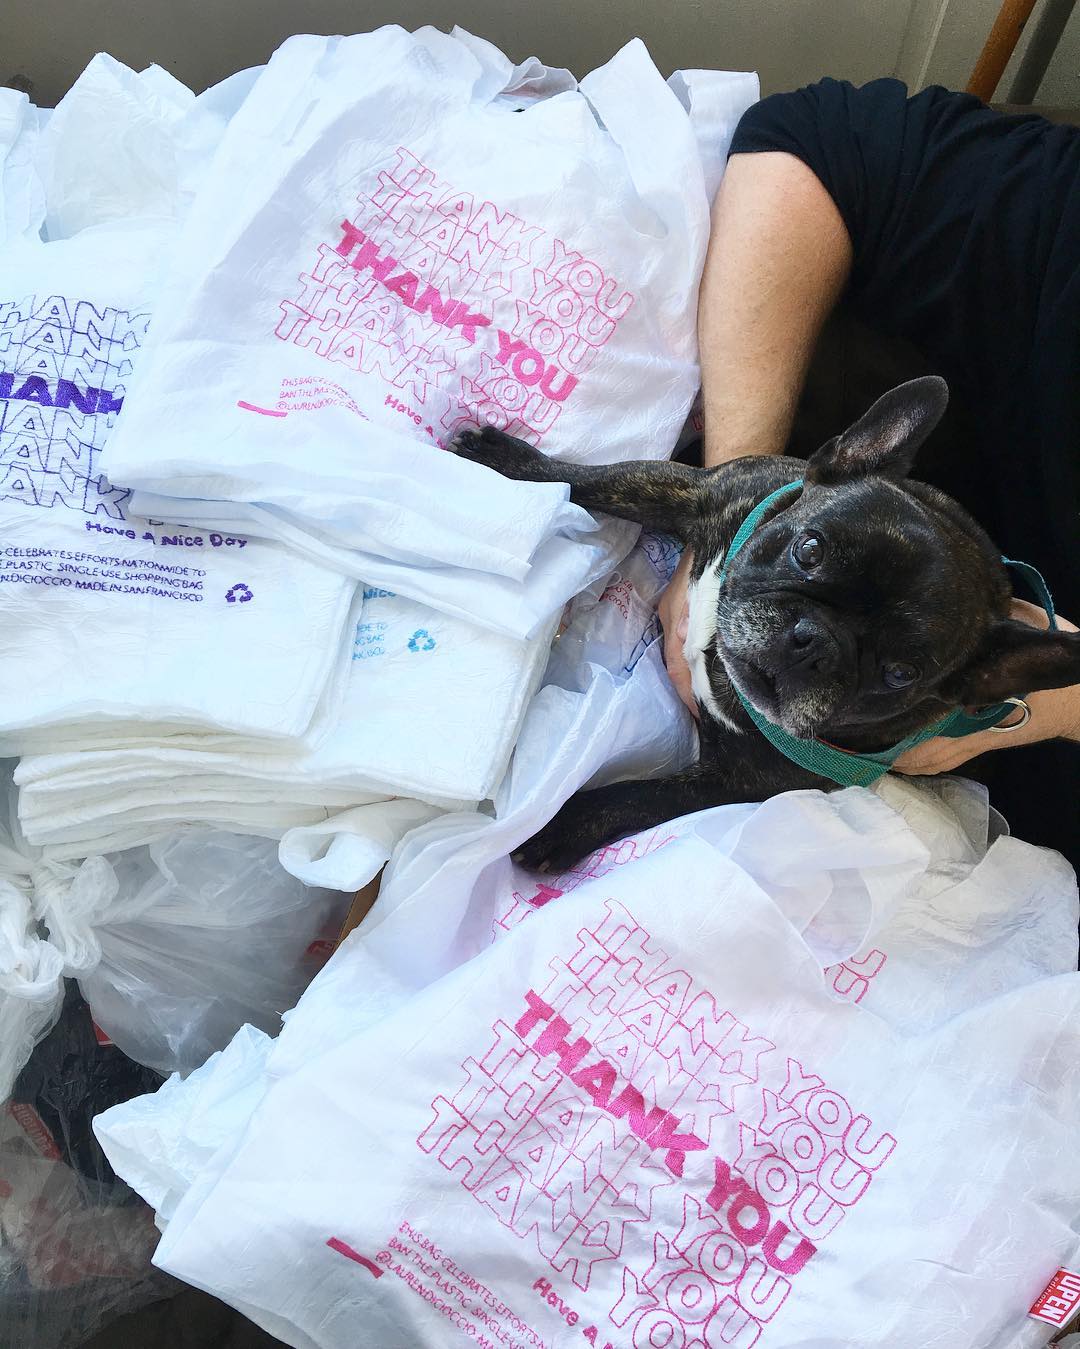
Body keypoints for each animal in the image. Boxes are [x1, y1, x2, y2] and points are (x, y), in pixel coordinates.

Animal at [450, 377, 1080, 871]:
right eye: (809, 549)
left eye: (901, 674)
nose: (814, 643)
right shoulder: (697, 490)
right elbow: (603, 480)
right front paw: (513, 463)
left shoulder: (741, 784)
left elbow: (642, 796)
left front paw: (562, 826)